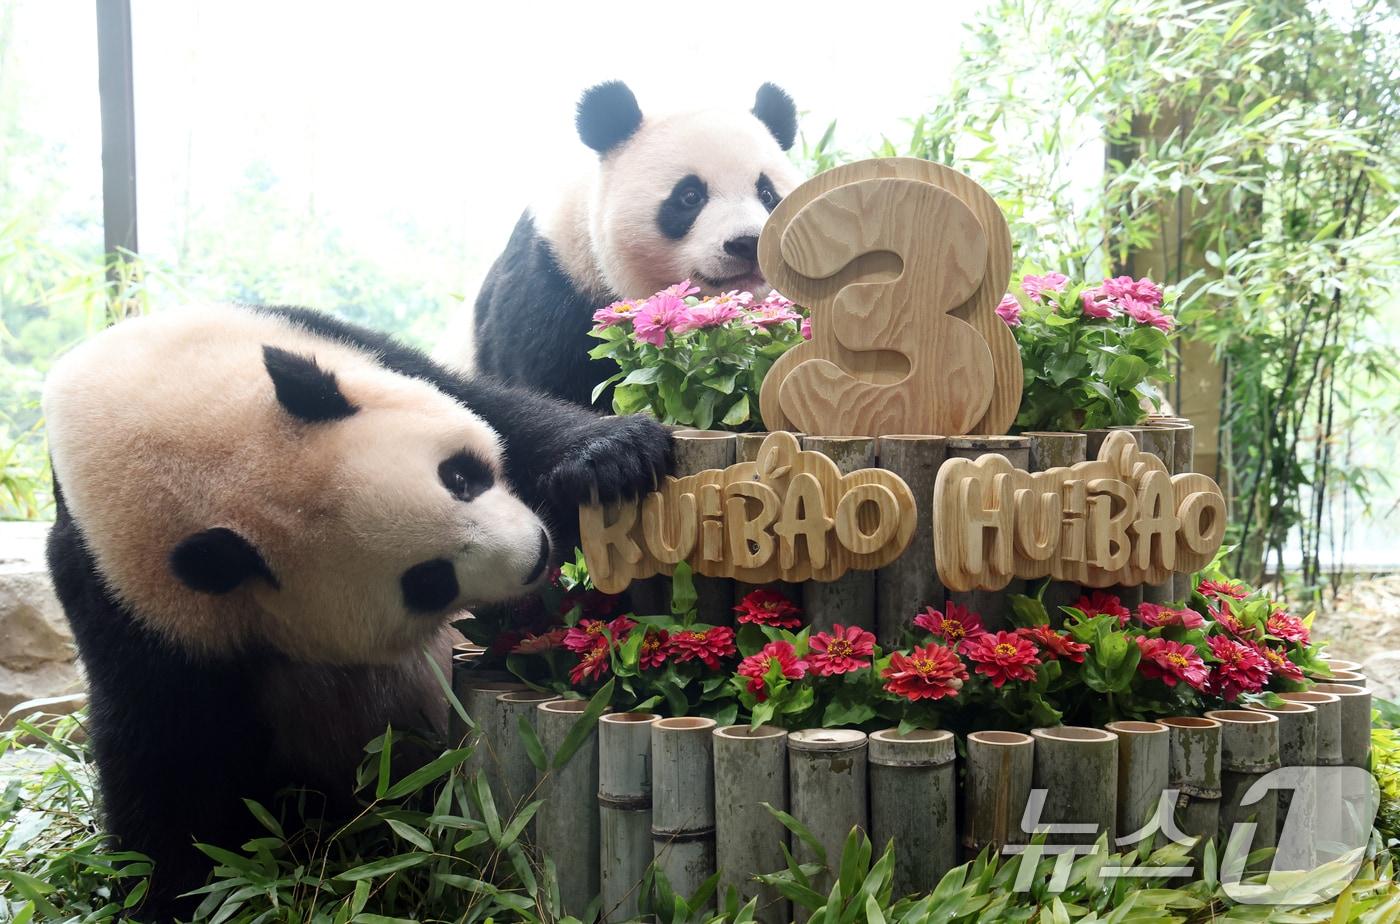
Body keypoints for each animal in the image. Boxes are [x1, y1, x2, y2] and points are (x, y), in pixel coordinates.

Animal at [42, 303, 672, 919]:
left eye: (459, 476)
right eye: (426, 581)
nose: (537, 552)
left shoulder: (329, 342)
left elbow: (500, 412)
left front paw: (610, 458)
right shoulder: (134, 602)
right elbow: (168, 761)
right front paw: (171, 895)